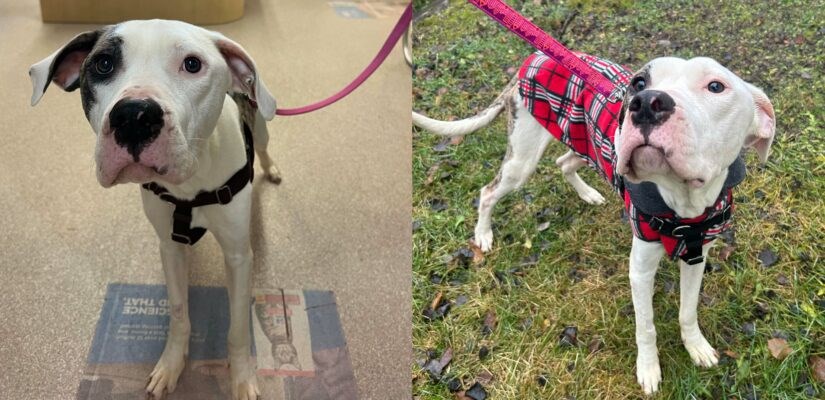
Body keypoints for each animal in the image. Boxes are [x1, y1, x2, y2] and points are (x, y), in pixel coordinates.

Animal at [29, 20, 284, 398]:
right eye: (103, 64)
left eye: (192, 64)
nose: (134, 116)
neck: (191, 184)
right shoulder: (170, 247)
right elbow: (178, 311)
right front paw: (171, 364)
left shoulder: (238, 258)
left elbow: (238, 327)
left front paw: (241, 378)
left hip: (263, 126)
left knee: (265, 147)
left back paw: (271, 168)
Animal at [412, 50, 772, 394]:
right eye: (639, 82)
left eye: (716, 86)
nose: (646, 103)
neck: (684, 204)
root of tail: (533, 58)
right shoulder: (640, 269)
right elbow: (646, 325)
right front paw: (649, 368)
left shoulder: (697, 256)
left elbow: (688, 310)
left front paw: (695, 346)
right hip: (522, 160)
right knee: (488, 192)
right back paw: (483, 234)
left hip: (583, 143)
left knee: (563, 162)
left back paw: (587, 193)